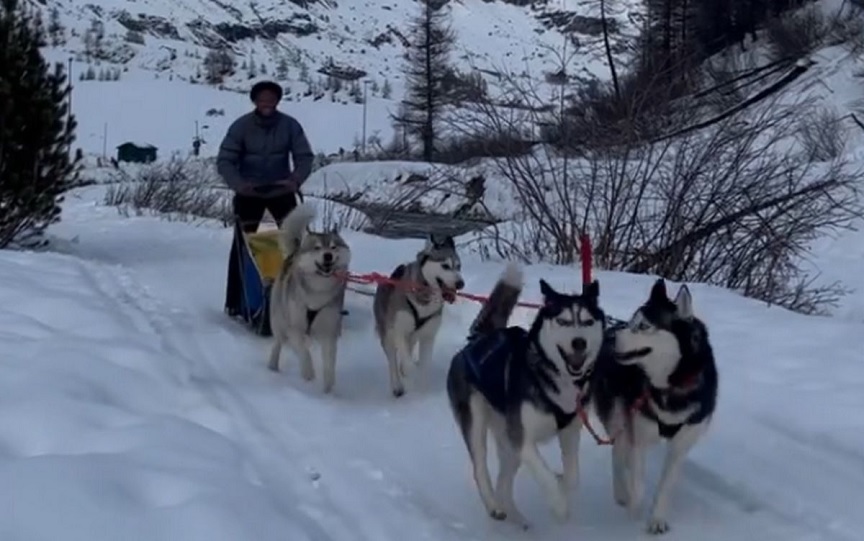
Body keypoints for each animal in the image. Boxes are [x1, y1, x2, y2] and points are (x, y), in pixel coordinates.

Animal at [268, 202, 352, 392]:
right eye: (317, 247)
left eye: (333, 247)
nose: (328, 255)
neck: (318, 292)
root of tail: (294, 253)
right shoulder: (294, 328)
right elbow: (304, 353)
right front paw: (308, 373)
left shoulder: (329, 331)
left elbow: (329, 364)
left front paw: (328, 390)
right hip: (279, 321)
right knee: (278, 342)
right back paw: (272, 366)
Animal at [372, 232, 466, 396]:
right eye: (445, 266)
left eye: (458, 266)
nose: (461, 283)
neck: (424, 299)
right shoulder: (399, 331)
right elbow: (407, 361)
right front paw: (411, 371)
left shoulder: (428, 336)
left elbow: (424, 364)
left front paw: (422, 387)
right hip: (388, 335)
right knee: (392, 360)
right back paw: (397, 385)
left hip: (414, 336)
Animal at [446, 264, 608, 524]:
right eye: (563, 321)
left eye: (587, 321)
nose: (579, 343)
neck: (555, 377)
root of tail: (478, 340)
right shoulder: (522, 440)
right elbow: (544, 475)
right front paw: (559, 505)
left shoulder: (569, 431)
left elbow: (573, 477)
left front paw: (563, 485)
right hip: (477, 421)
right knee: (480, 468)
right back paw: (494, 506)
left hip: (506, 439)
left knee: (503, 482)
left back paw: (516, 518)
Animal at [592, 280, 720, 532]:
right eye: (630, 322)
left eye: (643, 326)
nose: (613, 337)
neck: (672, 385)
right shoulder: (640, 436)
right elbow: (638, 485)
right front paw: (634, 514)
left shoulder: (681, 445)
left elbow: (665, 486)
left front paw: (657, 520)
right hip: (618, 414)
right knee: (617, 452)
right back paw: (622, 492)